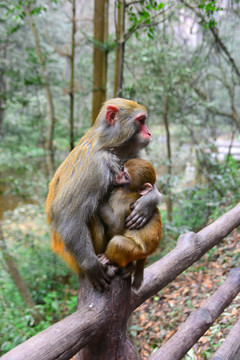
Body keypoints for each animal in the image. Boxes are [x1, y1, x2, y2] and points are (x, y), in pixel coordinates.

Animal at [98, 159, 162, 288]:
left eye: (126, 177)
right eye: (122, 169)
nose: (117, 176)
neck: (129, 190)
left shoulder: (121, 198)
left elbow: (116, 225)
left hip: (137, 251)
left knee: (118, 242)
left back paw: (107, 259)